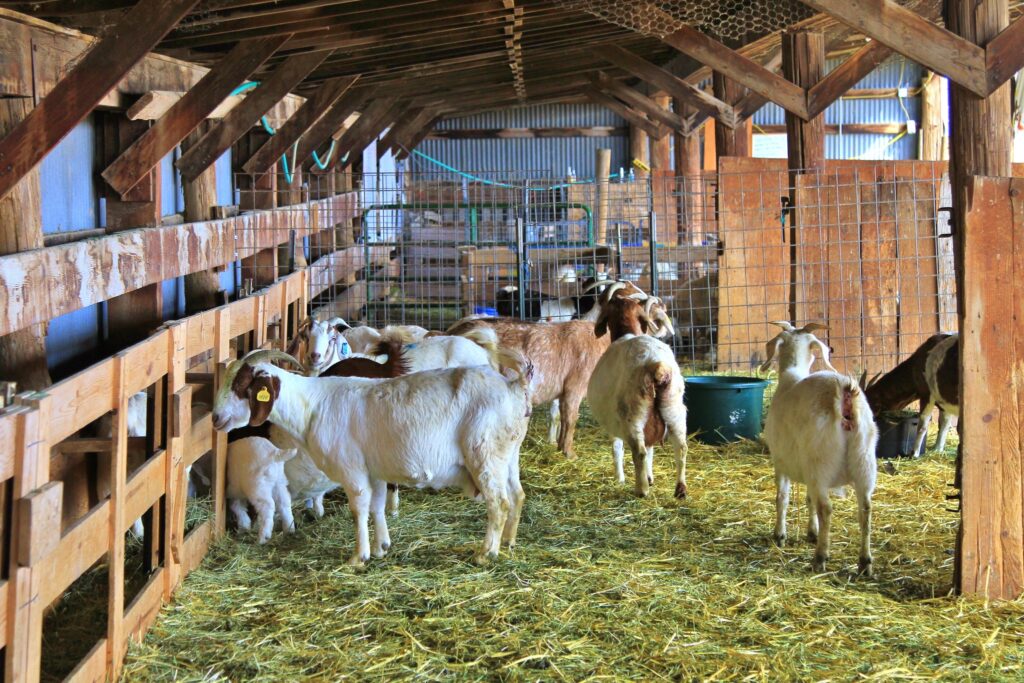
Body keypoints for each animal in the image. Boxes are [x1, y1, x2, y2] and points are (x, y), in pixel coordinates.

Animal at [206, 350, 528, 565]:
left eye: (241, 385)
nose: (216, 418)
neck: (311, 406)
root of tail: (515, 387)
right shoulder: (374, 470)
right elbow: (377, 506)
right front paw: (382, 546)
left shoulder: (352, 469)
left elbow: (359, 508)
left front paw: (358, 557)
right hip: (508, 455)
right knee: (517, 494)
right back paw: (510, 542)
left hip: (485, 455)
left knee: (498, 503)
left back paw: (486, 553)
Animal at [585, 286, 688, 497]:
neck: (627, 332)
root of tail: (657, 366)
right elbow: (651, 450)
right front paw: (650, 477)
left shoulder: (612, 423)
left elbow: (617, 448)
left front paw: (620, 479)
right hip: (674, 408)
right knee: (681, 447)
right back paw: (680, 489)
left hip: (632, 414)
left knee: (639, 451)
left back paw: (641, 490)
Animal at [761, 321, 880, 577]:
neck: (791, 376)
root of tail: (844, 395)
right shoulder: (806, 472)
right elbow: (808, 499)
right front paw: (811, 532)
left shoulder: (780, 461)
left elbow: (782, 498)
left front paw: (780, 535)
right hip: (864, 463)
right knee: (865, 509)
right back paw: (865, 562)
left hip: (820, 463)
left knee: (826, 508)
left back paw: (820, 557)